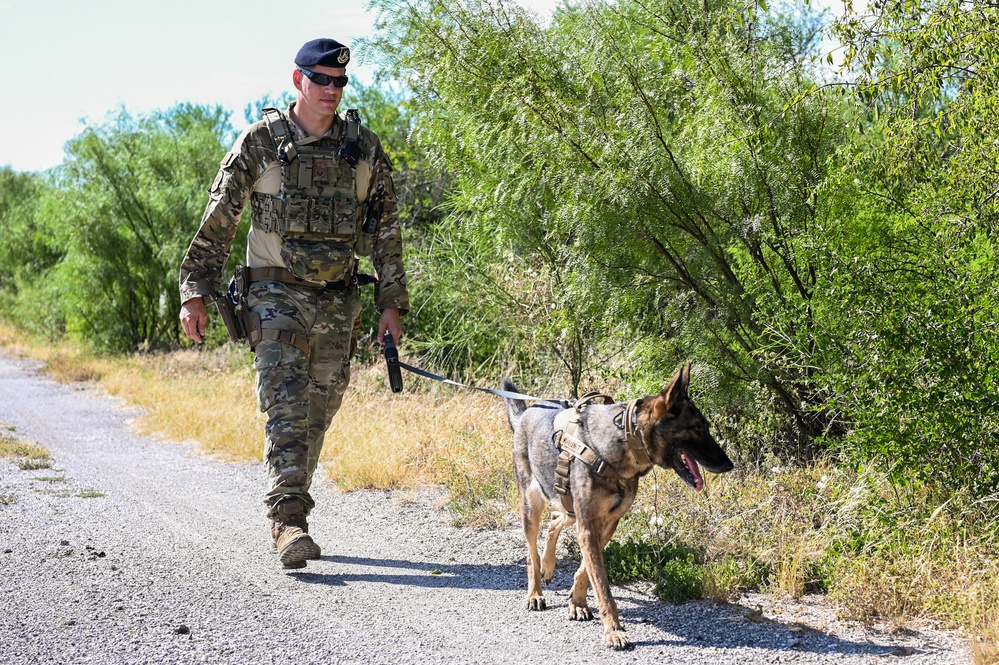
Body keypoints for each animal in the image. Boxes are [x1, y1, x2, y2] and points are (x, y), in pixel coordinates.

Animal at [508, 364, 736, 648]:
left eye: (705, 426)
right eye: (696, 428)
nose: (729, 465)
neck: (624, 441)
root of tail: (527, 412)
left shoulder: (605, 525)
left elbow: (585, 571)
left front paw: (578, 602)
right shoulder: (588, 527)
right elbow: (602, 586)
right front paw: (613, 630)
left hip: (568, 506)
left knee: (554, 521)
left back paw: (549, 566)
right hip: (532, 506)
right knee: (531, 553)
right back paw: (535, 592)